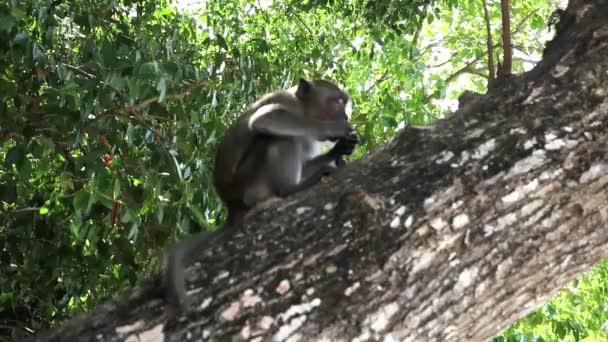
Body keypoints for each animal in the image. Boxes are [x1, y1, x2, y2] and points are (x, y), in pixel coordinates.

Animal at [164, 77, 358, 310]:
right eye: (337, 102)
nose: (345, 116)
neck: (303, 108)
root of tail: (232, 206)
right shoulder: (287, 106)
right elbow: (264, 119)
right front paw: (333, 129)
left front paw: (339, 150)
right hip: (249, 181)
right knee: (276, 138)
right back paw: (290, 189)